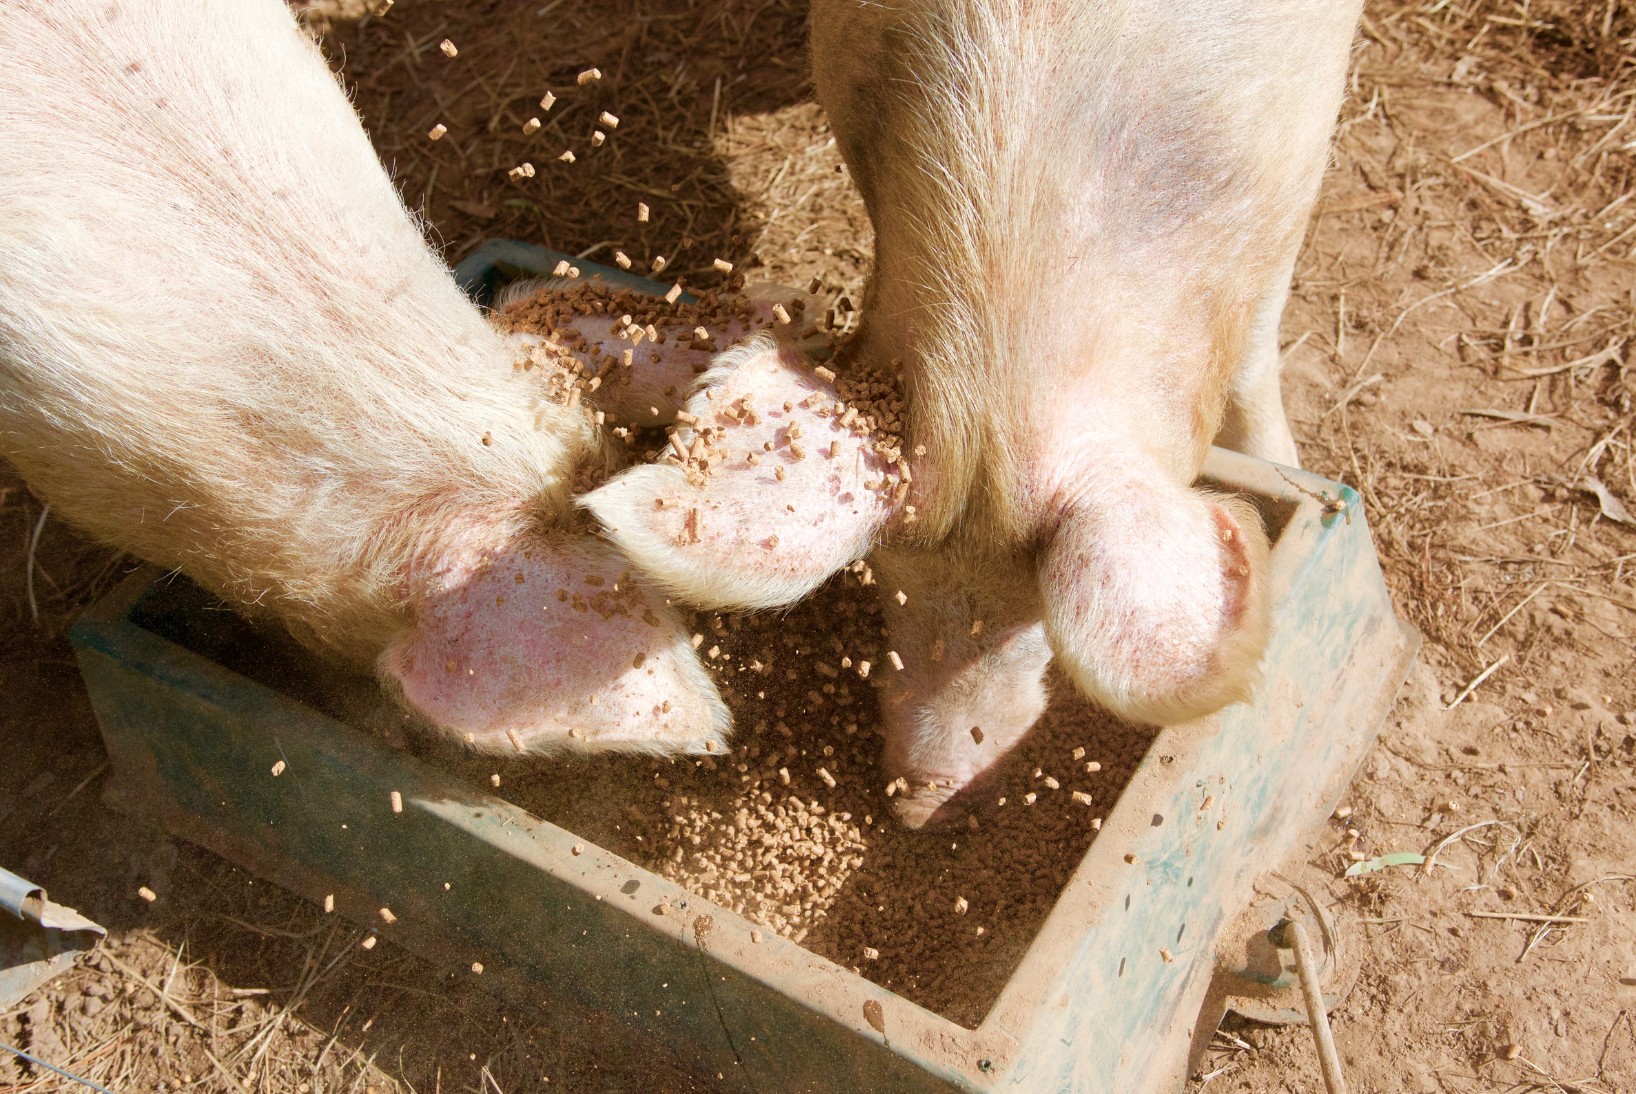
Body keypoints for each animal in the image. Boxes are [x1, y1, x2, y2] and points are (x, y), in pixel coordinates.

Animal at [584, 0, 1363, 824]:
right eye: (884, 583)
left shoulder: (1295, 169)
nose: (920, 804)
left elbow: (1255, 357)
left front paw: (1286, 462)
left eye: (1034, 627)